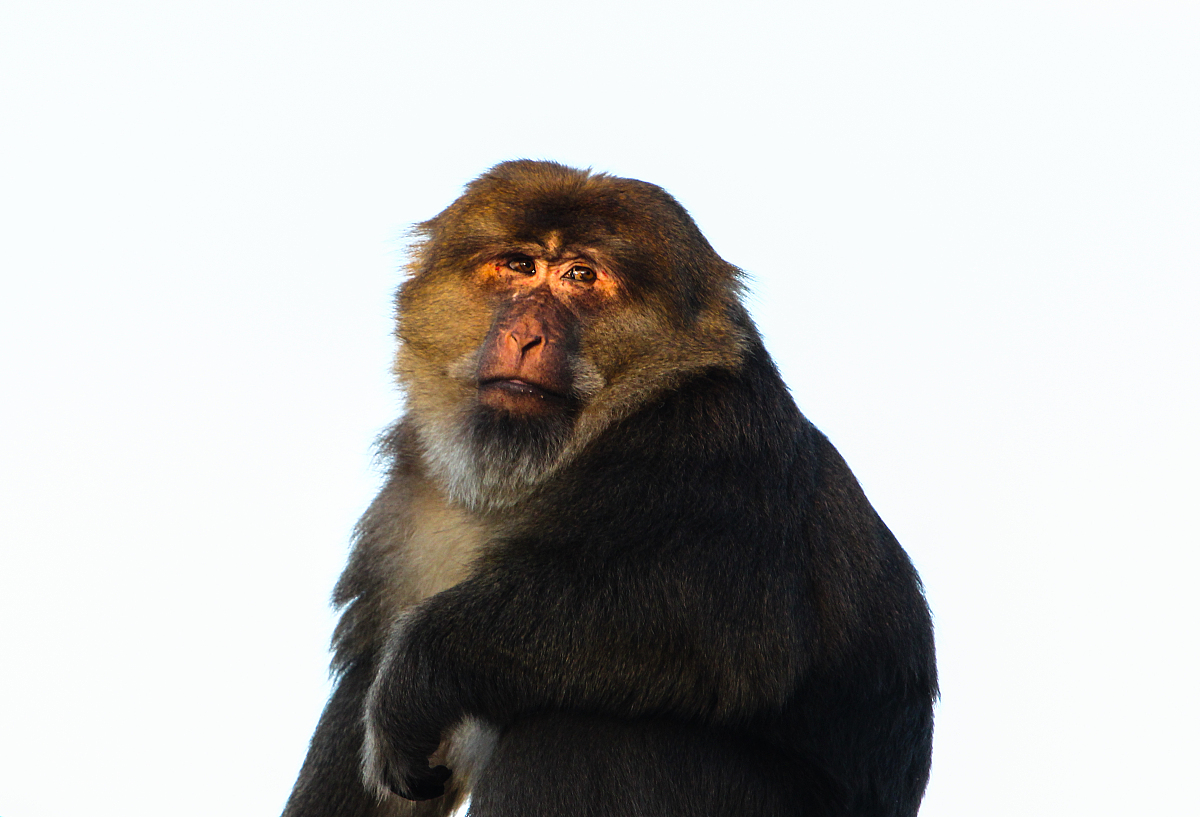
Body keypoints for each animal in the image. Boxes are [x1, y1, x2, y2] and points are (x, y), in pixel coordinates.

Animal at [278, 160, 936, 815]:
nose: (525, 335)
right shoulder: (415, 495)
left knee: (575, 734)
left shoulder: (714, 443)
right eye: (519, 266)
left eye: (581, 276)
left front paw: (420, 668)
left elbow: (734, 623)